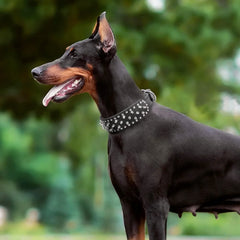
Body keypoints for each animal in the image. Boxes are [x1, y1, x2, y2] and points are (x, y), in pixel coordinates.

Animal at [31, 12, 240, 240]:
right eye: (66, 51)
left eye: (75, 54)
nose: (34, 71)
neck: (128, 124)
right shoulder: (129, 204)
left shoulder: (155, 204)